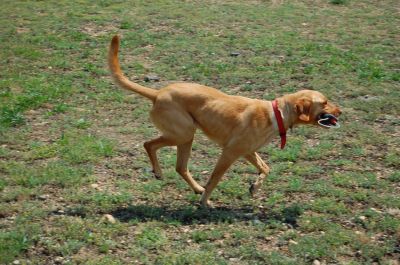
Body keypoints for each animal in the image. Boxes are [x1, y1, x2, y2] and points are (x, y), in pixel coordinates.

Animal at [108, 35, 342, 206]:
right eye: (325, 102)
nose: (341, 111)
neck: (276, 113)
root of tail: (157, 93)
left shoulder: (248, 151)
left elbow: (265, 168)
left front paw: (254, 187)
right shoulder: (229, 153)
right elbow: (215, 179)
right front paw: (205, 202)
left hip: (186, 137)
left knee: (180, 167)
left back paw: (196, 188)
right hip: (182, 133)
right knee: (149, 144)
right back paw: (161, 173)